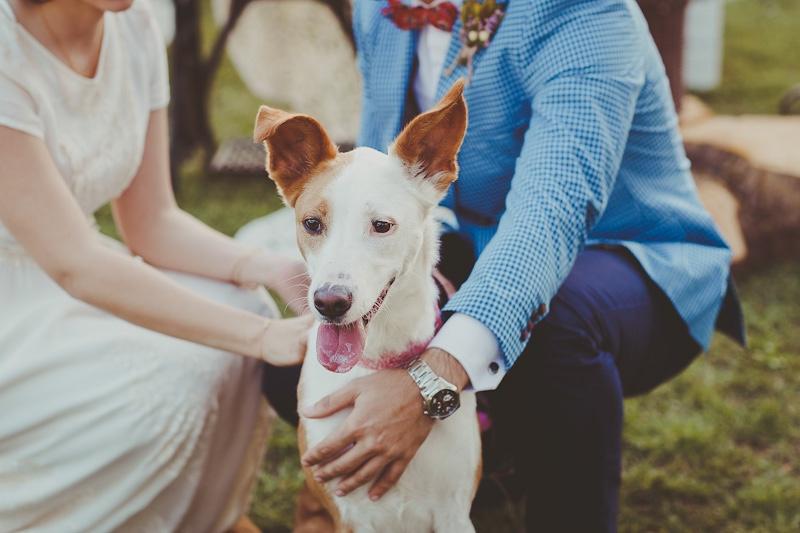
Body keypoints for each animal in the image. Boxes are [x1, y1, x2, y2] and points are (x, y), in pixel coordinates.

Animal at [256, 80, 482, 532]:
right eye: (312, 224)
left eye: (381, 225)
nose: (329, 301)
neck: (377, 362)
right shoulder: (351, 516)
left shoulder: (454, 513)